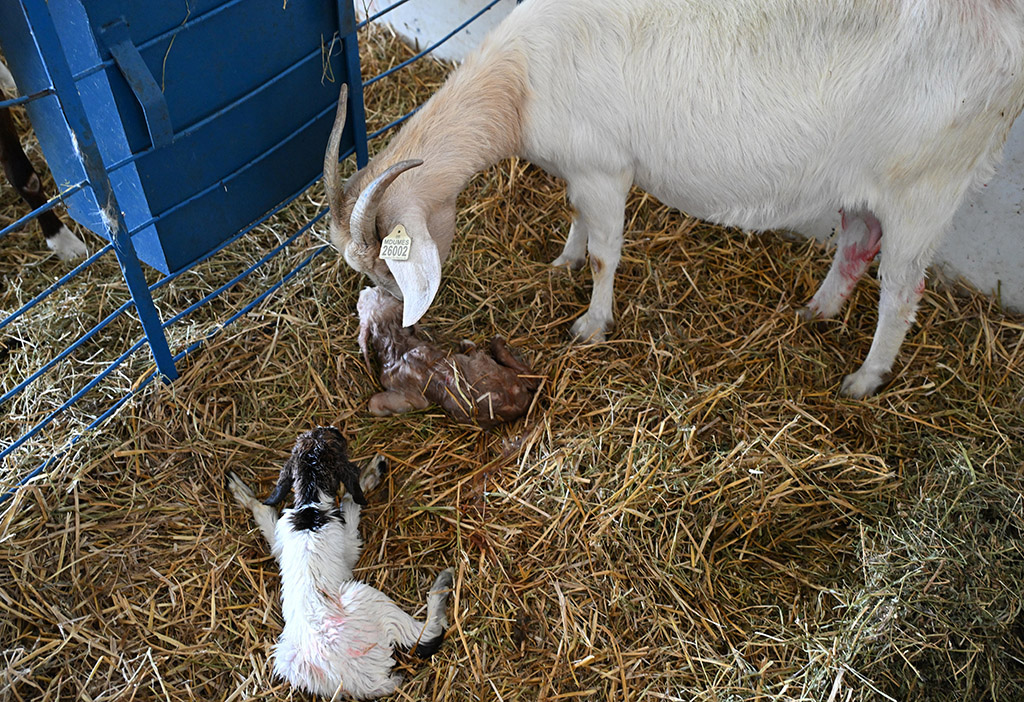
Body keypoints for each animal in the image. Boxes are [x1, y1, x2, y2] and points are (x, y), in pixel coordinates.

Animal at [227, 426, 454, 700]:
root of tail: (360, 681)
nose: (334, 429)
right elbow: (351, 502)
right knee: (425, 634)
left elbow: (264, 515)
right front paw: (370, 475)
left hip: (284, 658)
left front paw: (241, 491)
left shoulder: (281, 540)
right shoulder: (349, 545)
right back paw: (443, 584)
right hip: (364, 596)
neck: (310, 509)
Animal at [323, 0, 1024, 398]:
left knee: (902, 292)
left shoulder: (605, 167)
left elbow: (606, 253)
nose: (388, 317)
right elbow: (577, 222)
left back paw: (864, 379)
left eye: (388, 263)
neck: (520, 82)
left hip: (926, 190)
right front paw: (560, 264)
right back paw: (815, 312)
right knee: (856, 242)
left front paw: (591, 325)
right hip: (865, 183)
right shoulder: (580, 171)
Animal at [357, 286, 539, 428]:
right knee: (530, 378)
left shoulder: (412, 396)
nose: (367, 288)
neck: (396, 343)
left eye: (360, 305)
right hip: (499, 371)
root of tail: (513, 401)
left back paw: (486, 343)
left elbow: (374, 403)